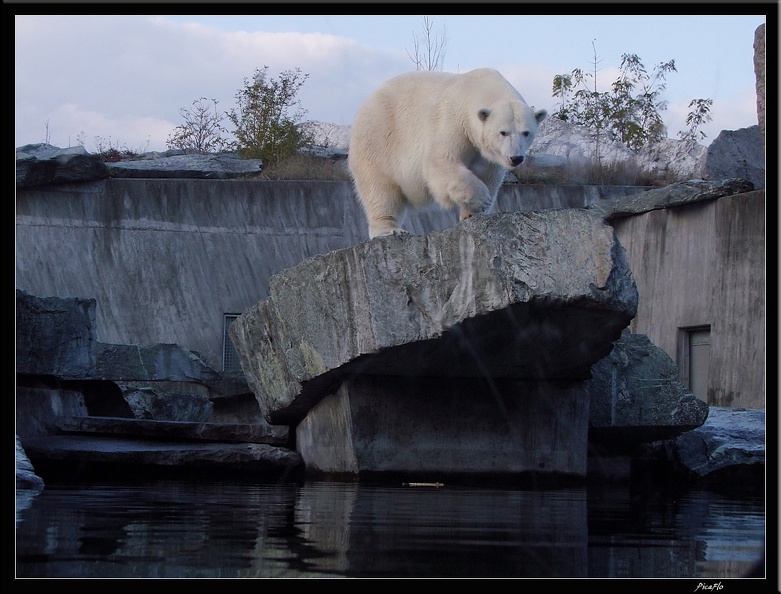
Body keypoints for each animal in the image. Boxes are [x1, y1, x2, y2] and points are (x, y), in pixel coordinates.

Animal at [350, 67, 544, 238]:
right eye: (503, 132)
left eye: (526, 132)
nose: (516, 158)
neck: (474, 88)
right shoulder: (453, 121)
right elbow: (440, 161)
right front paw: (482, 199)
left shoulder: (486, 152)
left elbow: (488, 174)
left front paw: (472, 213)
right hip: (378, 139)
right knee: (380, 188)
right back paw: (389, 229)